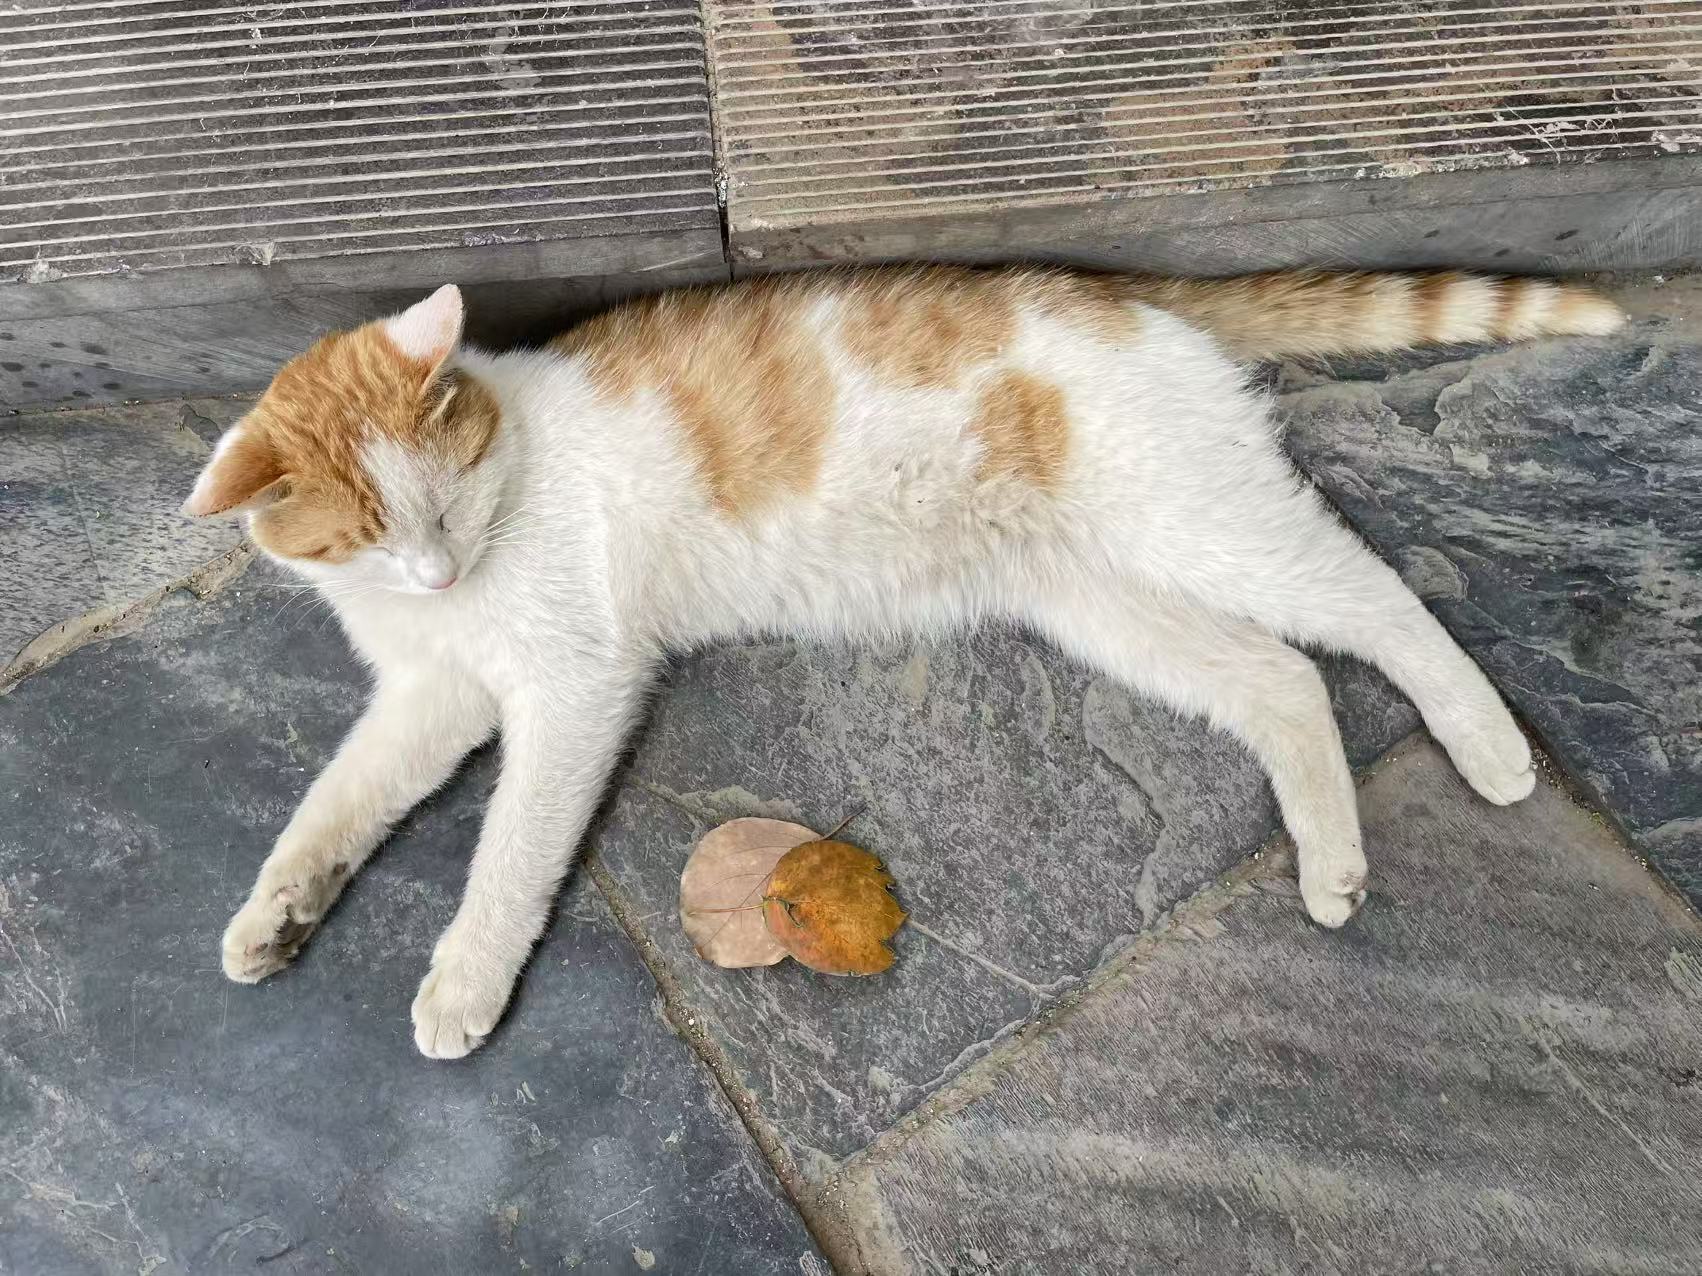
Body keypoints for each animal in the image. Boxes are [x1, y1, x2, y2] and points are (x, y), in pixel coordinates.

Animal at [183, 266, 1623, 1058]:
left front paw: (464, 982)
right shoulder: (431, 695)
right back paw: (1332, 869)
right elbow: (338, 802)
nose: (437, 574)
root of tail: (1114, 290)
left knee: (1375, 599)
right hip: (1104, 599)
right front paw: (278, 914)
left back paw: (1489, 746)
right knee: (1284, 678)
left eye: (444, 506)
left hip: (1204, 527)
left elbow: (507, 856)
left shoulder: (572, 688)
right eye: (373, 540)